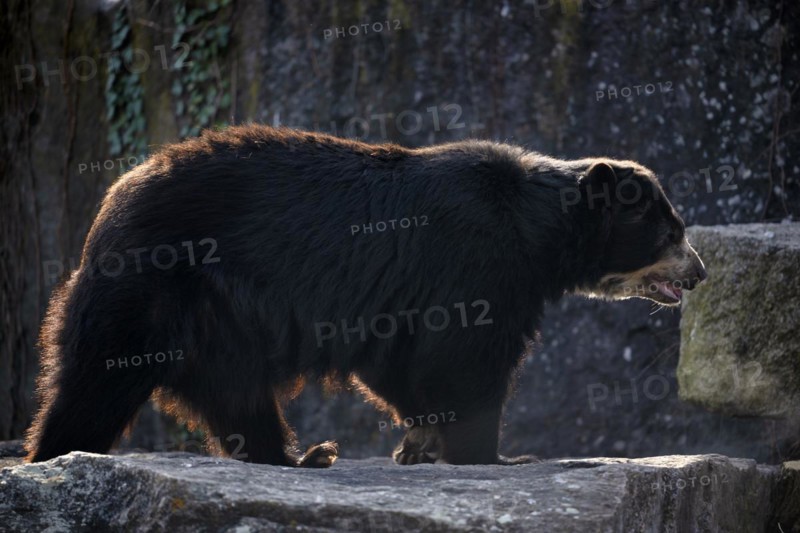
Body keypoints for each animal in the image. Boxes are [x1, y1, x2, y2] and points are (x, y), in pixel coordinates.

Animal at [25, 125, 707, 466]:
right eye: (672, 231)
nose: (699, 273)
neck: (535, 230)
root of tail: (110, 203)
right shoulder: (474, 263)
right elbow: (463, 358)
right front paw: (492, 456)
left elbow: (400, 364)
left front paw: (421, 444)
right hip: (154, 288)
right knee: (95, 381)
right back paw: (51, 453)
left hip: (216, 320)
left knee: (235, 395)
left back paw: (299, 457)